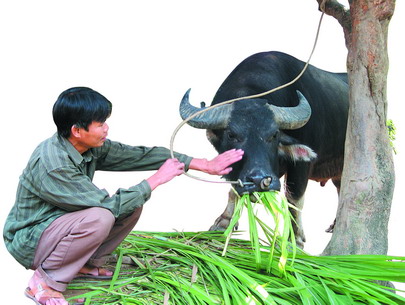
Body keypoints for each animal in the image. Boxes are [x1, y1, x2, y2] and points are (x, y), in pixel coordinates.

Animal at [179, 50, 348, 247]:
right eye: (231, 135)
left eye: (274, 134)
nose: (259, 179)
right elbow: (233, 190)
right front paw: (224, 223)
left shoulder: (301, 166)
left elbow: (294, 198)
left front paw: (295, 238)